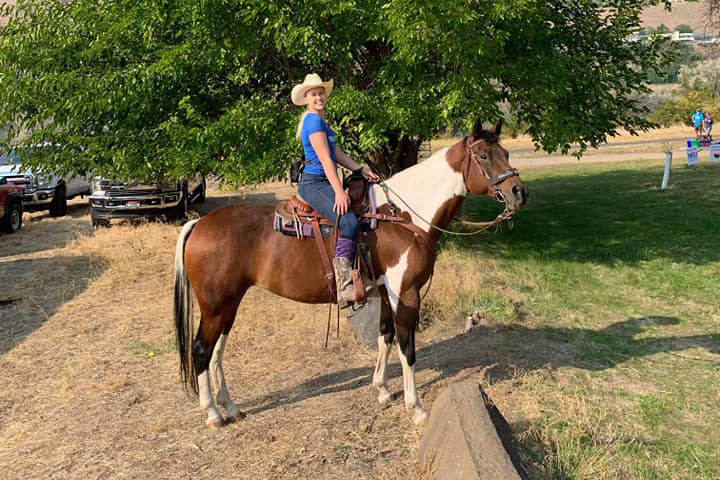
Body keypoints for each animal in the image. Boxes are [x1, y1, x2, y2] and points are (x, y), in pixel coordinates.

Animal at [173, 120, 528, 428]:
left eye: (506, 153)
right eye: (484, 156)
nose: (518, 191)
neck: (401, 218)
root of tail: (199, 224)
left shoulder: (385, 292)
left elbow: (385, 336)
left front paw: (383, 390)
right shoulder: (406, 293)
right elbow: (407, 348)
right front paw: (416, 408)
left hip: (228, 304)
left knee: (217, 350)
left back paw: (230, 406)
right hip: (215, 305)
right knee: (201, 350)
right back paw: (213, 414)